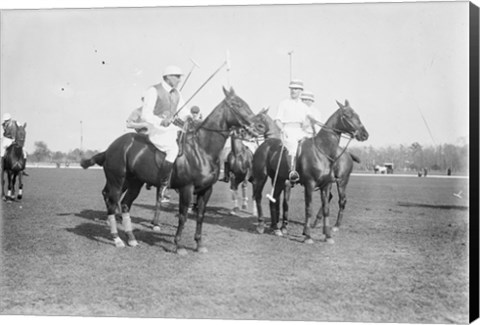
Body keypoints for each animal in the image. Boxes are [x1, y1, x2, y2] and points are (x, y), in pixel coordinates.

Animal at [80, 87, 264, 254]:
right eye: (236, 104)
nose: (260, 126)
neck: (203, 149)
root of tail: (110, 147)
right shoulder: (187, 188)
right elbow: (183, 216)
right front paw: (179, 245)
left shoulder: (206, 190)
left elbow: (200, 216)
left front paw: (199, 244)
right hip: (117, 181)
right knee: (112, 202)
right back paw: (117, 238)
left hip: (135, 183)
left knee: (125, 204)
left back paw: (131, 238)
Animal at [249, 101, 370, 240]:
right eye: (348, 115)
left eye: (356, 115)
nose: (365, 134)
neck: (322, 150)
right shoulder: (309, 183)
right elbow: (307, 207)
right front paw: (307, 235)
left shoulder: (325, 184)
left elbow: (325, 208)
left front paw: (327, 236)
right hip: (261, 176)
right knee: (258, 196)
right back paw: (262, 225)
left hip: (340, 181)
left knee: (341, 200)